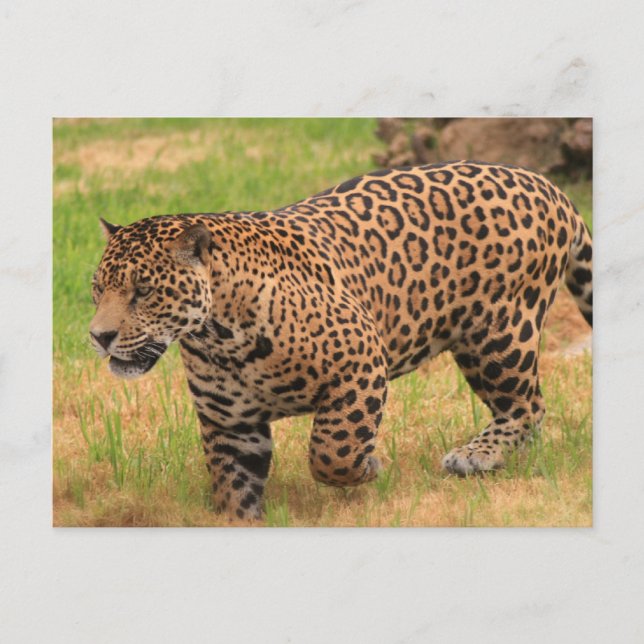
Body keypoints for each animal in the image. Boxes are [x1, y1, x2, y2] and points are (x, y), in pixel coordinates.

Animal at [89, 161, 593, 521]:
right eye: (97, 289)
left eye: (143, 291)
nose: (98, 336)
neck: (220, 337)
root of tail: (549, 186)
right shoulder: (231, 426)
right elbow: (234, 494)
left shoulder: (362, 363)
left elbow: (332, 450)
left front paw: (368, 468)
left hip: (497, 335)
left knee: (527, 406)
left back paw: (475, 456)